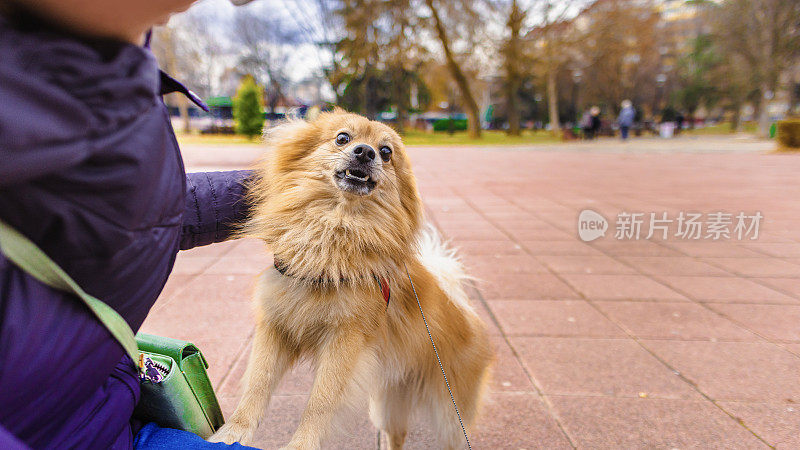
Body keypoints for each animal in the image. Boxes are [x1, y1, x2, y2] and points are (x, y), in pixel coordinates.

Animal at [209, 110, 490, 450]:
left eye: (386, 152)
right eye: (343, 138)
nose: (365, 152)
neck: (335, 227)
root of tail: (466, 311)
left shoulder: (345, 340)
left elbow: (320, 401)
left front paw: (301, 445)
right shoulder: (276, 327)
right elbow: (257, 385)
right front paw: (234, 432)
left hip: (450, 415)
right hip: (388, 405)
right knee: (397, 435)